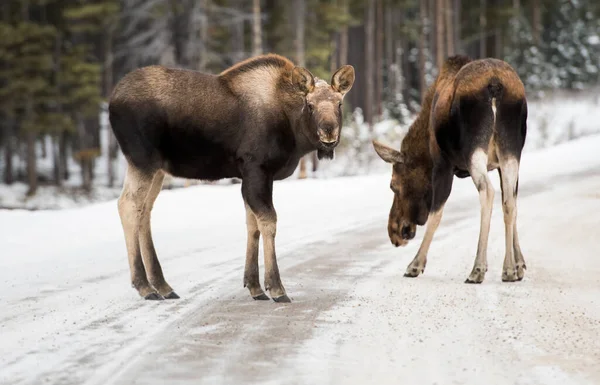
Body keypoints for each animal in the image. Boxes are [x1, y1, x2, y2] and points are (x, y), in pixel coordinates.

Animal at [108, 54, 354, 302]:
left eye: (339, 104)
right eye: (310, 105)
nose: (328, 131)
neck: (293, 132)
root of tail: (112, 100)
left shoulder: (253, 176)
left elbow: (252, 225)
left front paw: (254, 286)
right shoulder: (257, 168)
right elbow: (268, 222)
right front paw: (276, 287)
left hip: (157, 169)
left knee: (144, 211)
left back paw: (162, 285)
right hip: (143, 160)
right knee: (128, 205)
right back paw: (144, 286)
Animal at [372, 54, 528, 282]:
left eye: (393, 185)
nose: (394, 232)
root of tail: (495, 84)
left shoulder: (442, 163)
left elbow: (435, 214)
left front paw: (415, 264)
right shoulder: (501, 163)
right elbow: (511, 203)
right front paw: (519, 265)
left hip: (474, 148)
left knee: (487, 191)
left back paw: (478, 268)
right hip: (511, 150)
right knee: (509, 200)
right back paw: (507, 269)